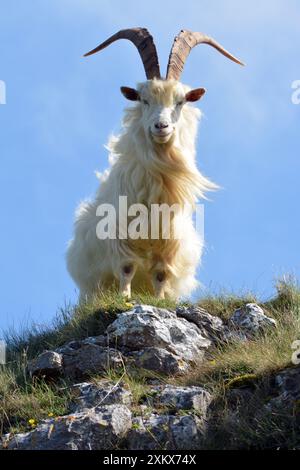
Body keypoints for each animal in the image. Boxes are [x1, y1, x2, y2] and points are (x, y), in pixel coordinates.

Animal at [66, 28, 244, 302]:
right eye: (143, 100)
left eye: (181, 101)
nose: (162, 126)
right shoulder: (120, 236)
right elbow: (126, 268)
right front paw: (124, 298)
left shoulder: (168, 243)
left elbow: (161, 274)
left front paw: (159, 301)